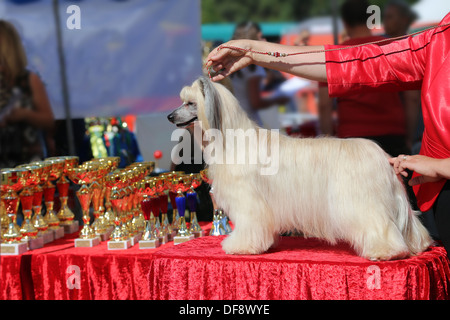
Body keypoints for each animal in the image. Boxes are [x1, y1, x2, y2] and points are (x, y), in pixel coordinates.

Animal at [169, 76, 432, 262]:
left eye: (190, 103)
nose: (170, 116)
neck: (233, 139)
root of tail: (381, 156)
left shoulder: (248, 201)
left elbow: (248, 225)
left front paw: (241, 246)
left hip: (362, 203)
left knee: (379, 226)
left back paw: (385, 251)